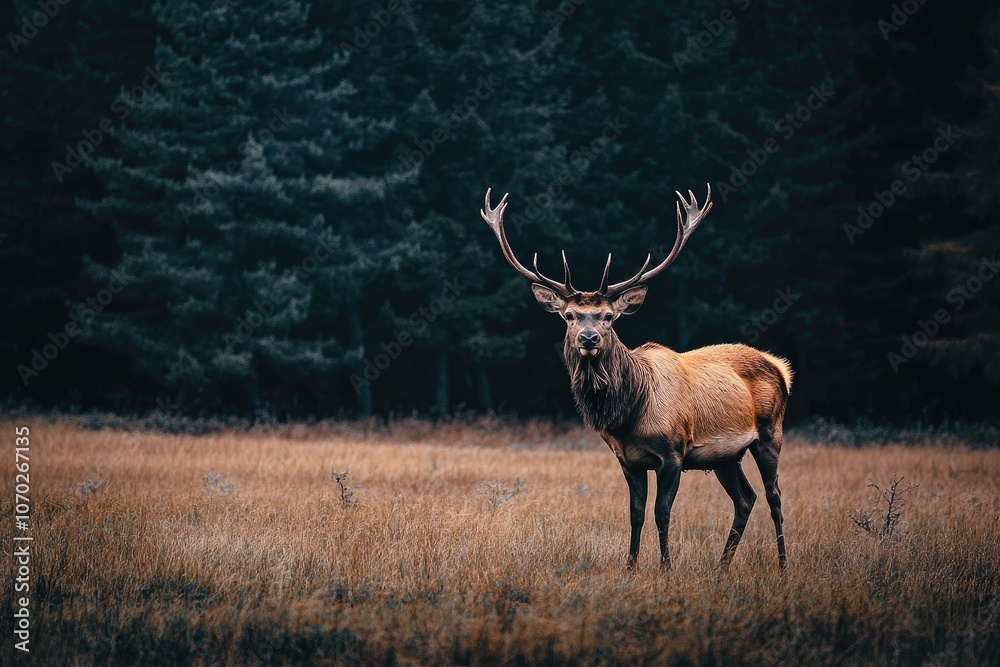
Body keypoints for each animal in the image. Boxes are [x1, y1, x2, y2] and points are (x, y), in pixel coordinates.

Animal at [479, 185, 792, 570]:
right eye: (569, 315)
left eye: (608, 316)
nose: (588, 338)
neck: (629, 413)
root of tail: (779, 366)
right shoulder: (628, 459)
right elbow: (636, 513)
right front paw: (629, 567)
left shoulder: (674, 452)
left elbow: (662, 513)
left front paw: (666, 568)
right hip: (725, 456)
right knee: (745, 498)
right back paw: (722, 568)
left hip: (770, 432)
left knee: (774, 496)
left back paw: (782, 565)